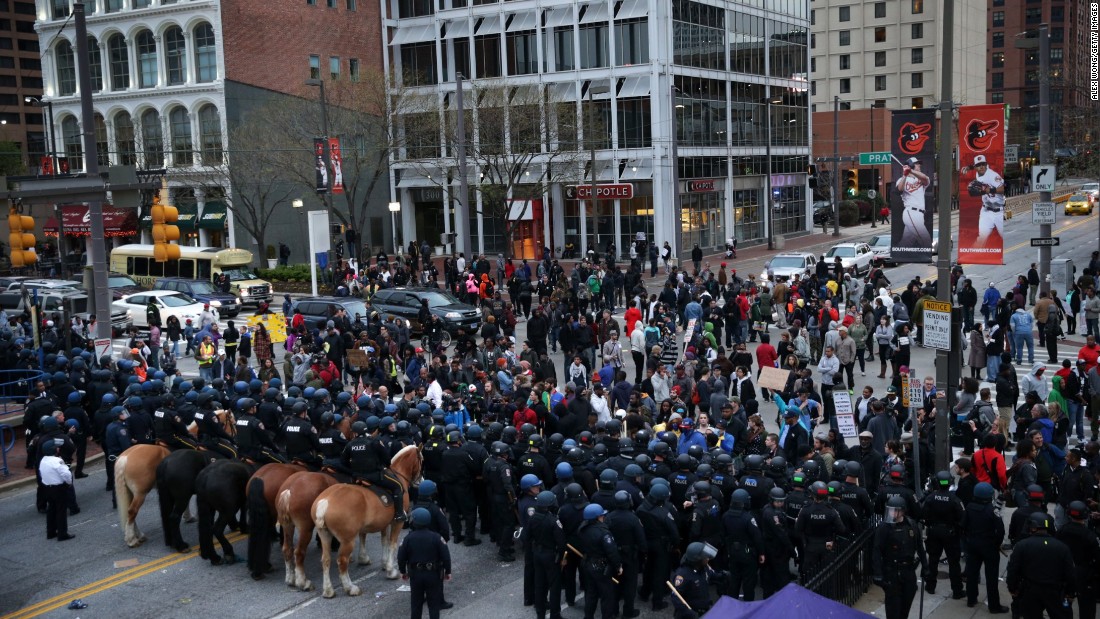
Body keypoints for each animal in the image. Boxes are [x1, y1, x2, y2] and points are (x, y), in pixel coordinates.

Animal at [319, 444, 424, 598]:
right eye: (422, 460)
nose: (421, 481)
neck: (398, 474)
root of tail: (325, 502)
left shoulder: (383, 522)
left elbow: (383, 540)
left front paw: (383, 562)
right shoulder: (397, 522)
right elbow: (392, 543)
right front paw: (391, 570)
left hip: (325, 535)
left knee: (326, 560)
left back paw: (328, 590)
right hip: (347, 540)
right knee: (342, 561)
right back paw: (350, 588)